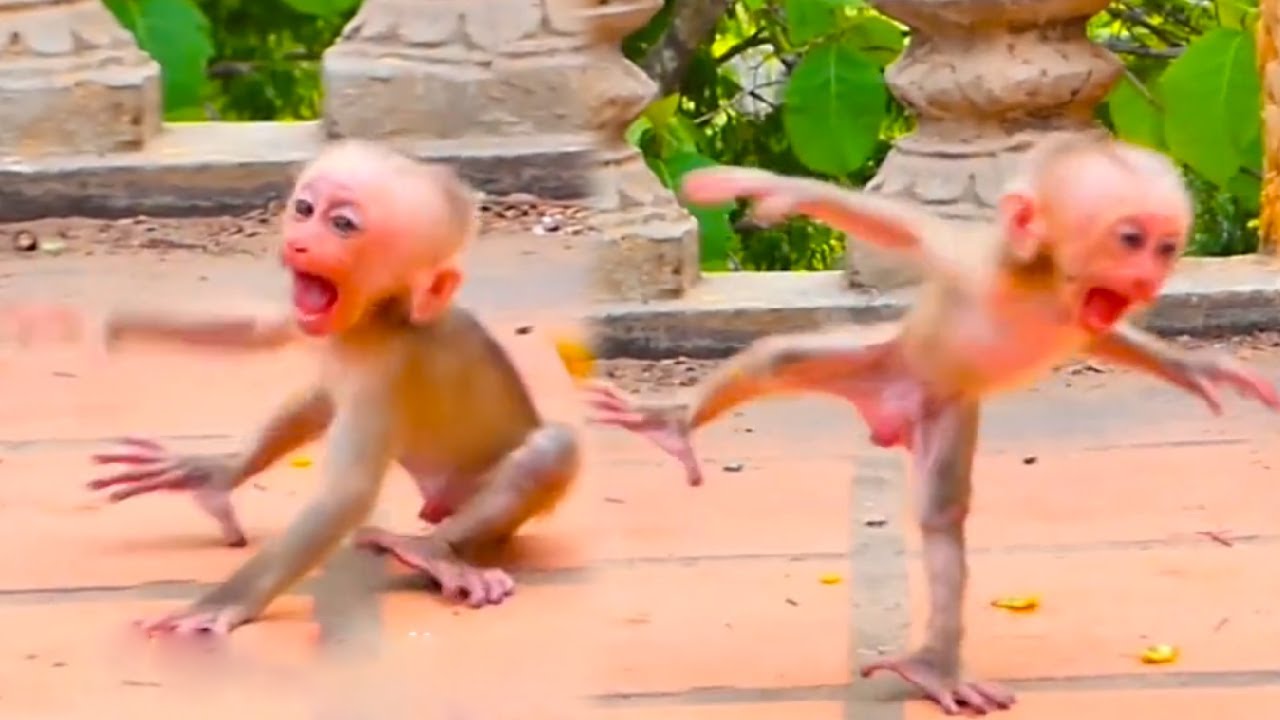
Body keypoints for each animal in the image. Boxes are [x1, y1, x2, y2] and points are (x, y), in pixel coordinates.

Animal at [10, 141, 583, 635]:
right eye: (305, 208)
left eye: (343, 224)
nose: (298, 241)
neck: (375, 318)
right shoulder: (313, 321)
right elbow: (262, 333)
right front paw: (120, 325)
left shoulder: (386, 367)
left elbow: (345, 495)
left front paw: (222, 605)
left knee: (550, 449)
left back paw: (431, 551)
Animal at [583, 135, 1280, 715]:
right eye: (1131, 238)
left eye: (1167, 245)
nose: (1150, 272)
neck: (1050, 285)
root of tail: (890, 411)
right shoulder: (975, 264)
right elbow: (899, 227)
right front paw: (770, 189)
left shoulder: (1086, 317)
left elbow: (1111, 337)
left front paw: (1197, 369)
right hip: (889, 363)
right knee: (778, 357)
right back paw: (674, 422)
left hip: (944, 407)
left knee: (943, 515)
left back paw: (933, 666)